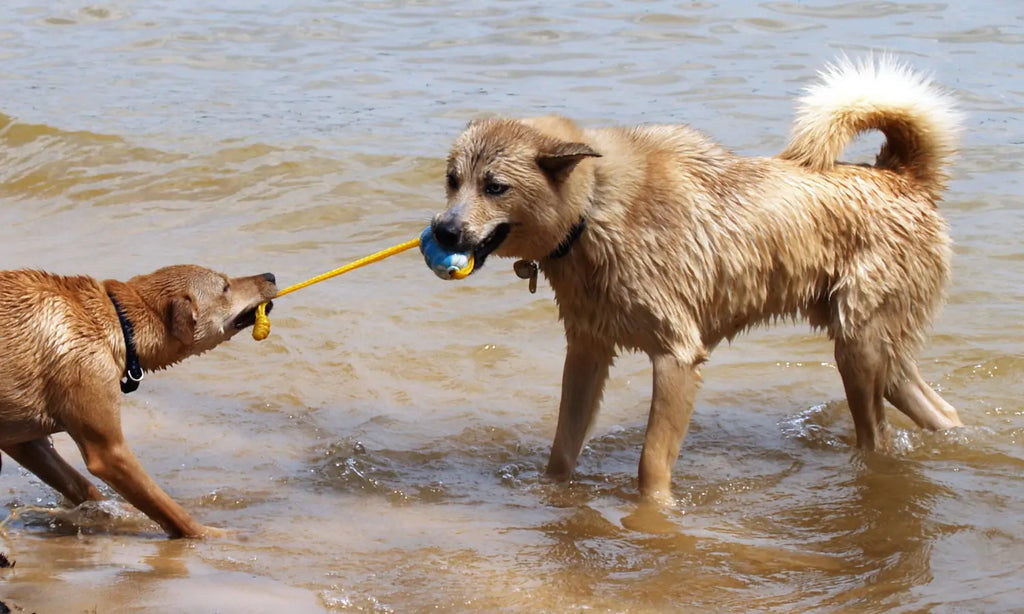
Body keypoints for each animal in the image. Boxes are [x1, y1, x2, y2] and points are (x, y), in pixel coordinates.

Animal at [0, 264, 276, 536]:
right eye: (225, 287)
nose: (270, 275)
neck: (120, 325)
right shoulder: (109, 453)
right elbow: (169, 509)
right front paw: (210, 535)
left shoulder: (25, 442)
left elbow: (80, 485)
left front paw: (114, 515)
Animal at [428, 55, 962, 501]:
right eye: (453, 180)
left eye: (496, 187)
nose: (443, 230)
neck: (593, 211)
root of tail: (903, 177)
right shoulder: (587, 351)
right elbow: (563, 449)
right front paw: (554, 494)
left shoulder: (677, 357)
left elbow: (650, 463)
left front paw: (656, 514)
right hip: (873, 348)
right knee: (937, 410)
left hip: (860, 348)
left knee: (880, 436)